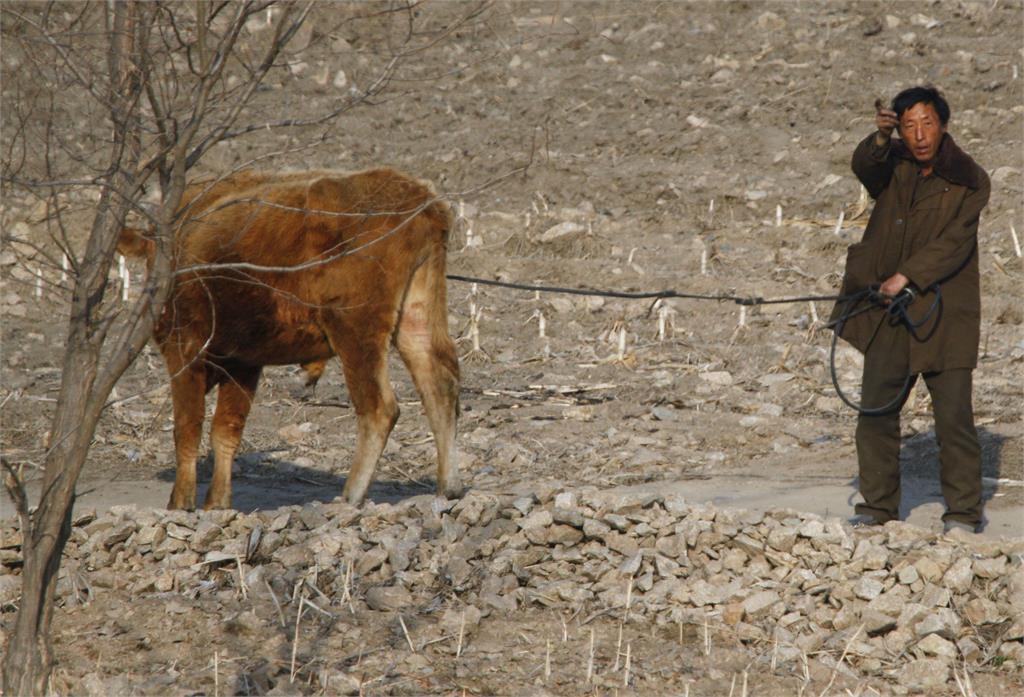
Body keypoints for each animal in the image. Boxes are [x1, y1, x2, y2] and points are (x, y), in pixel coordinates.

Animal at [119, 165, 460, 507]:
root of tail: (419, 198)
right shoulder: (243, 362)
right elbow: (226, 431)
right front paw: (217, 502)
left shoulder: (186, 350)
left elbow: (187, 427)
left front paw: (181, 503)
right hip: (415, 316)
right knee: (439, 387)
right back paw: (448, 488)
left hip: (355, 330)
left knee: (379, 406)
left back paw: (350, 495)